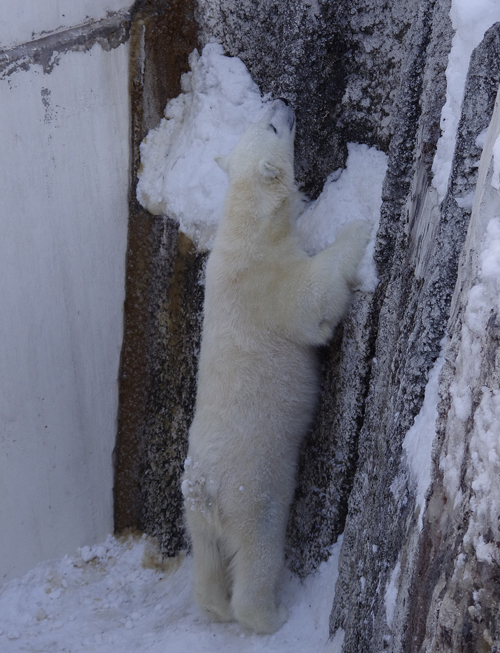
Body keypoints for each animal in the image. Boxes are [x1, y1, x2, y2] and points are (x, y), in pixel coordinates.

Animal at [182, 99, 370, 636]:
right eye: (271, 126)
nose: (283, 102)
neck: (248, 229)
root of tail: (203, 486)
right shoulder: (269, 284)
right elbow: (313, 301)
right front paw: (359, 224)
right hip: (252, 488)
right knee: (258, 547)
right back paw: (269, 614)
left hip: (196, 510)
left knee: (206, 556)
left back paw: (213, 605)